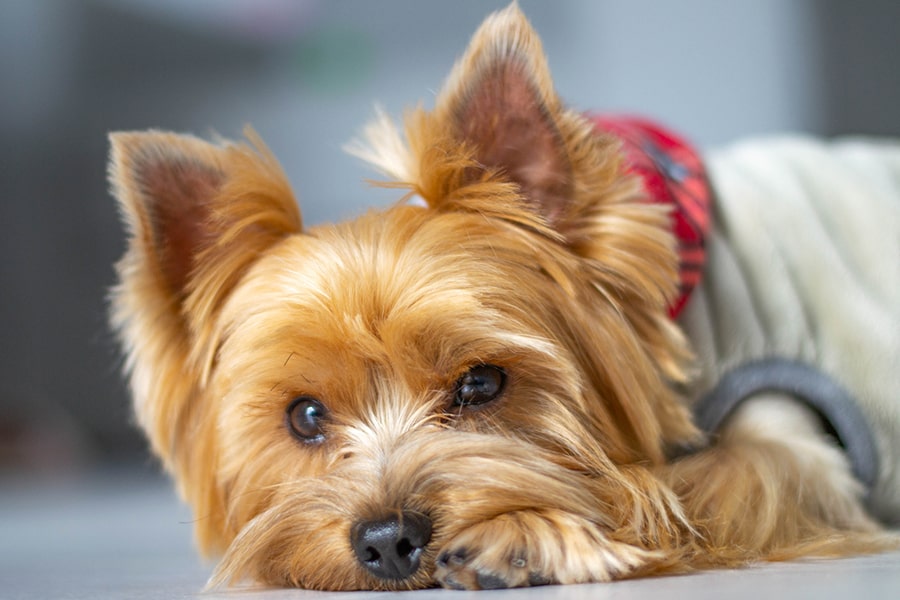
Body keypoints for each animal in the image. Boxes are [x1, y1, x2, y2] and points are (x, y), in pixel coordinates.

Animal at [107, 1, 900, 592]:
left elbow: (677, 485)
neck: (688, 311)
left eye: (482, 383)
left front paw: (522, 530)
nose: (387, 541)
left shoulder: (794, 450)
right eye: (304, 417)